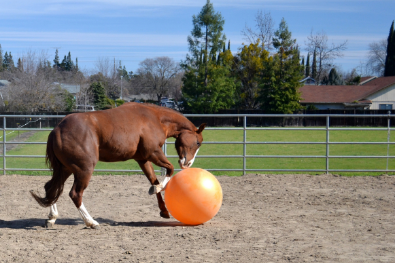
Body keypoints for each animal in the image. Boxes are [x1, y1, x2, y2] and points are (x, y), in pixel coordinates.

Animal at [30, 102, 207, 230]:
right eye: (198, 142)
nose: (187, 163)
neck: (155, 118)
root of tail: (57, 129)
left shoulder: (143, 159)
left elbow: (154, 180)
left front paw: (163, 209)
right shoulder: (153, 152)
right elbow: (169, 170)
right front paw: (158, 189)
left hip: (65, 169)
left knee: (51, 188)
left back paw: (52, 218)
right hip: (83, 170)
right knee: (75, 194)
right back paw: (91, 222)